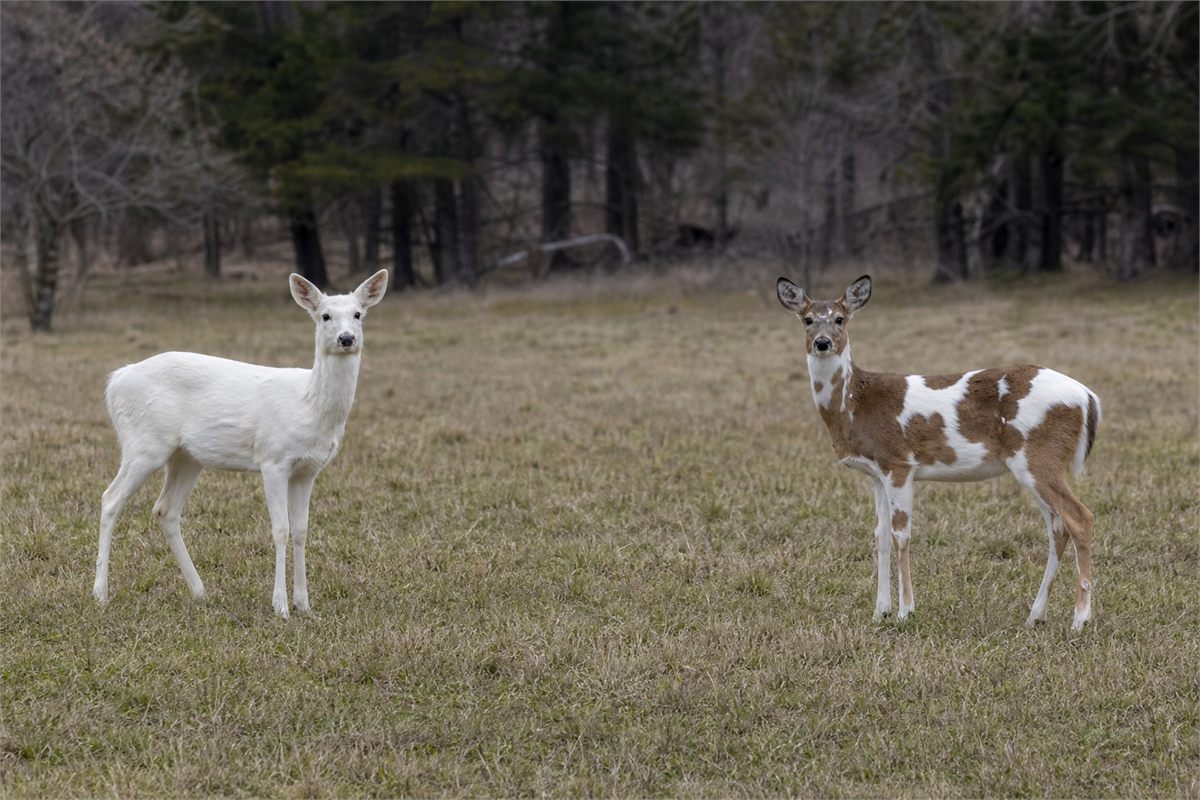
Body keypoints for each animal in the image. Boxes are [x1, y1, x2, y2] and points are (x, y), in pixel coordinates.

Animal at [93, 269, 389, 618]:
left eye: (358, 314)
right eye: (325, 315)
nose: (346, 339)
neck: (308, 404)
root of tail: (115, 382)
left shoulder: (308, 469)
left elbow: (302, 531)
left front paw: (305, 605)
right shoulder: (273, 459)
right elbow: (281, 530)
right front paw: (281, 606)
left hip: (186, 457)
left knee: (165, 509)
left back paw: (200, 591)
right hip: (143, 444)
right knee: (110, 499)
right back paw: (100, 593)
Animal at [776, 275, 1101, 630]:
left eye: (839, 318)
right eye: (807, 319)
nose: (822, 343)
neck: (853, 406)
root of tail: (1087, 397)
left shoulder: (899, 462)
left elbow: (902, 534)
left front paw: (905, 611)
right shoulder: (876, 473)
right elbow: (880, 536)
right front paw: (879, 612)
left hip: (1037, 455)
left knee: (1080, 517)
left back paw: (1080, 619)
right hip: (1034, 464)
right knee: (1057, 527)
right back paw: (1035, 615)